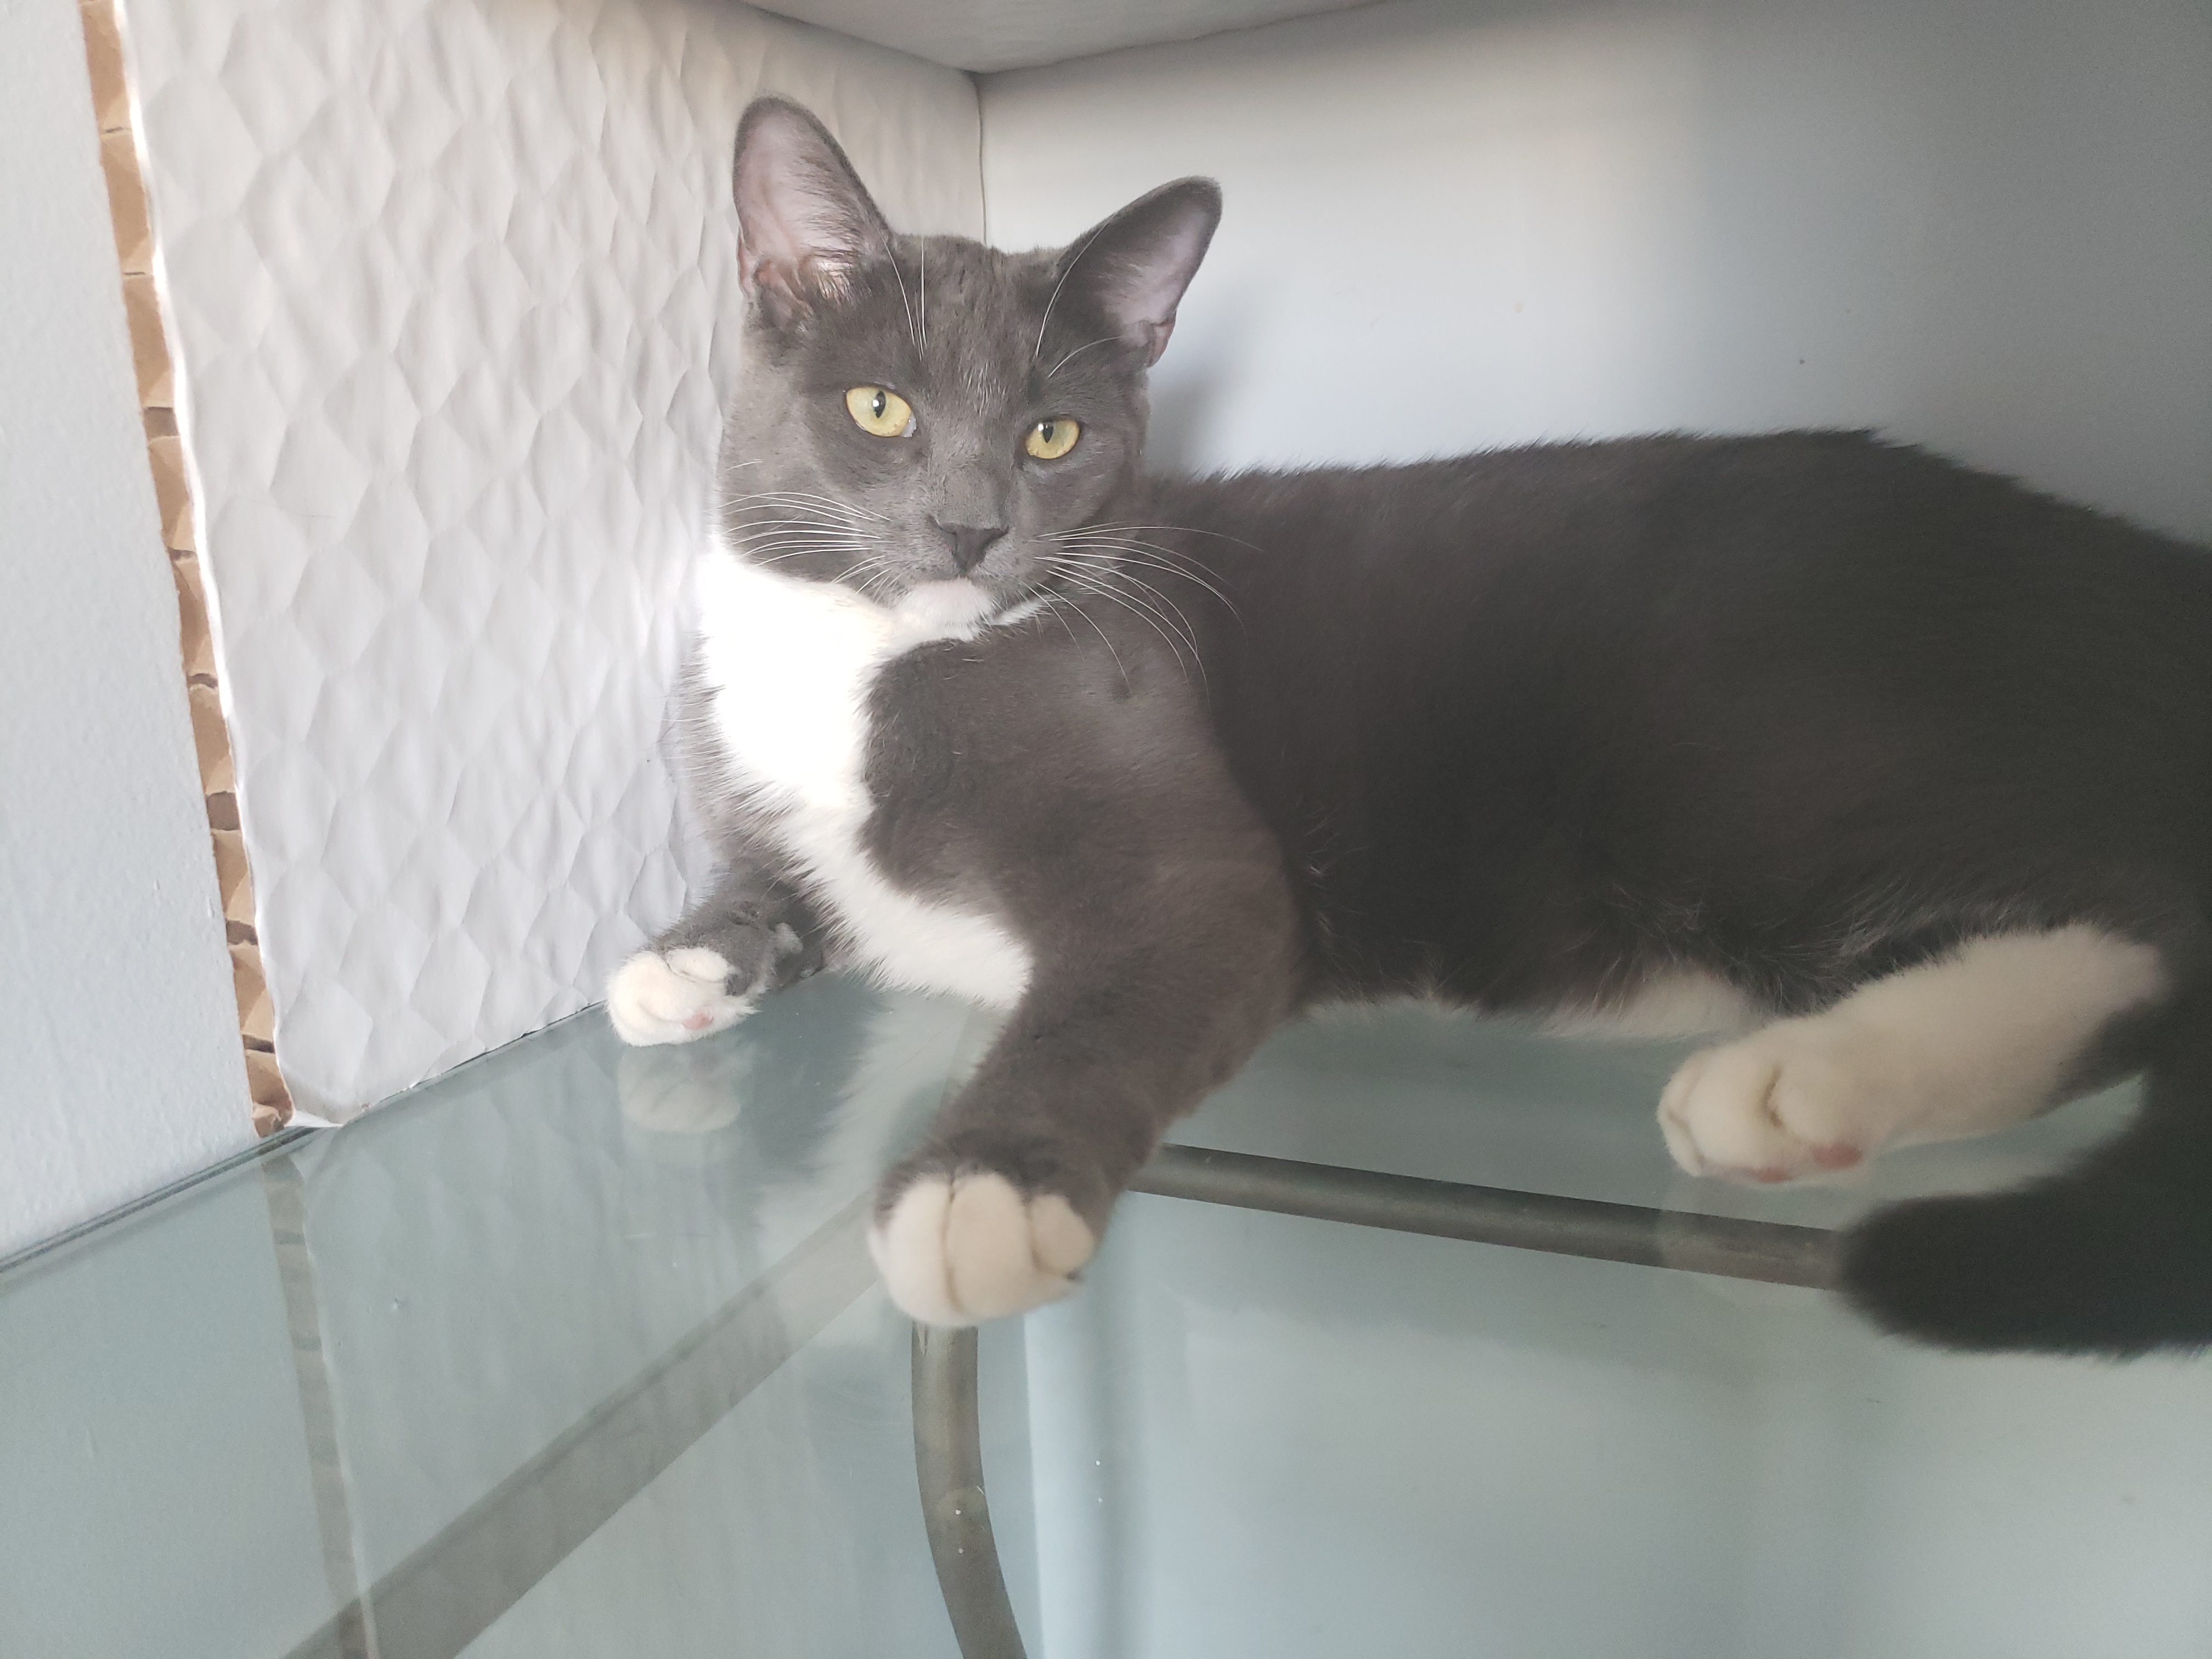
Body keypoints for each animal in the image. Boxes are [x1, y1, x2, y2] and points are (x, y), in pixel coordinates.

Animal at [608, 95, 2212, 1356]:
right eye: (879, 408)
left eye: (1052, 436)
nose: (966, 528)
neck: (872, 650)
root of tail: (2136, 565)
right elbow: (777, 891)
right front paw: (679, 962)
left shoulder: (1193, 855)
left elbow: (1116, 989)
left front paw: (982, 1188)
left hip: (1765, 745)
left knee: (2143, 923)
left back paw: (1802, 1080)